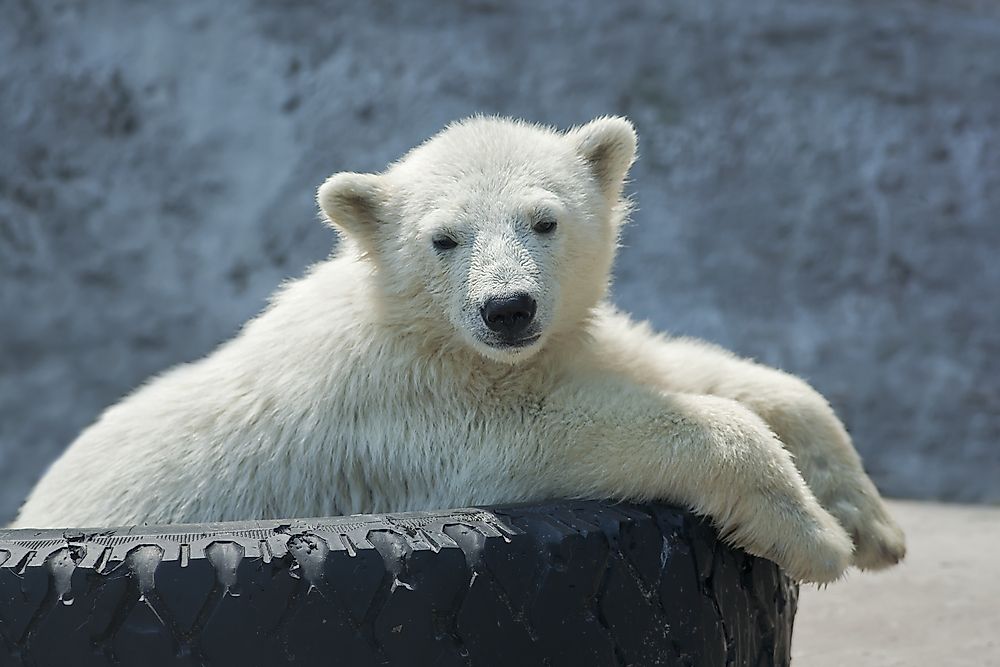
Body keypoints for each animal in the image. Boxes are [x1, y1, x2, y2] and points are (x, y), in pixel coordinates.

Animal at [11, 116, 904, 584]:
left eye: (544, 219)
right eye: (444, 238)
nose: (507, 308)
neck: (419, 323)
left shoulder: (551, 340)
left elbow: (663, 367)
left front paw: (870, 524)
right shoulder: (406, 410)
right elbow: (541, 426)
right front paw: (811, 533)